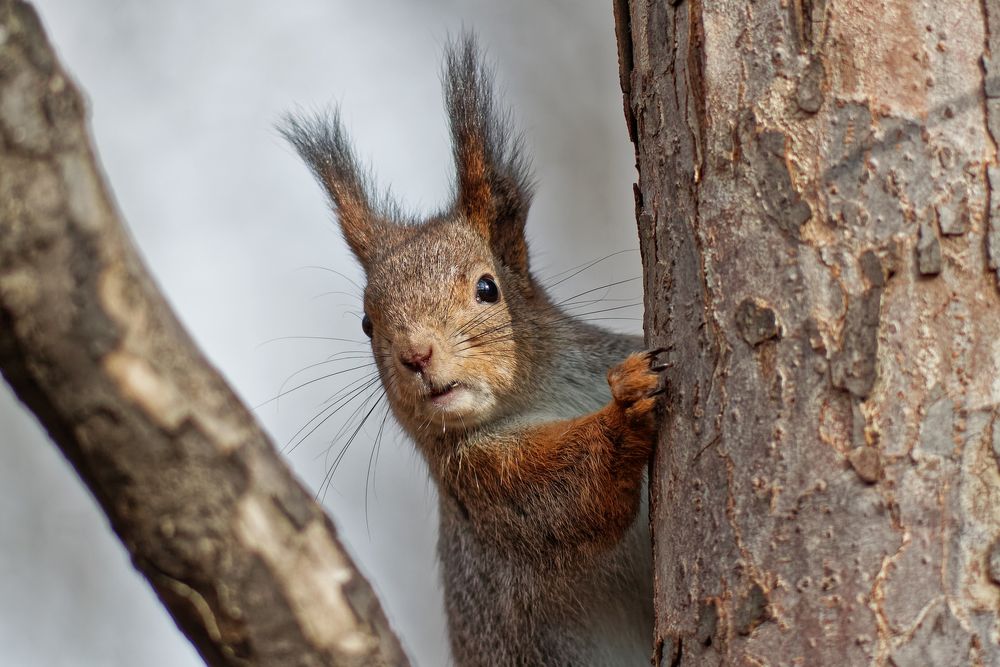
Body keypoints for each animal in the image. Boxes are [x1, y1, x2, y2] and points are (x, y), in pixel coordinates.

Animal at [281, 34, 664, 667]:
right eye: (366, 323)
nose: (417, 355)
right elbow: (570, 500)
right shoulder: (482, 487)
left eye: (488, 288)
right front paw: (627, 407)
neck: (544, 393)